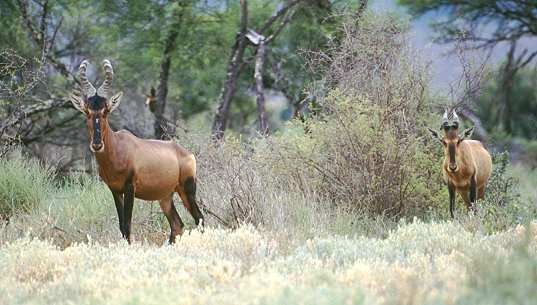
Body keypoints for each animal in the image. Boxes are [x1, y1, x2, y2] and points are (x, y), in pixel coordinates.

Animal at [69, 60, 203, 243]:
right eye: (87, 111)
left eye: (106, 111)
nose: (97, 144)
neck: (118, 147)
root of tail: (186, 153)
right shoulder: (115, 190)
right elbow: (121, 226)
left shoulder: (130, 188)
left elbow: (127, 225)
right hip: (165, 196)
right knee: (177, 225)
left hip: (187, 189)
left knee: (199, 219)